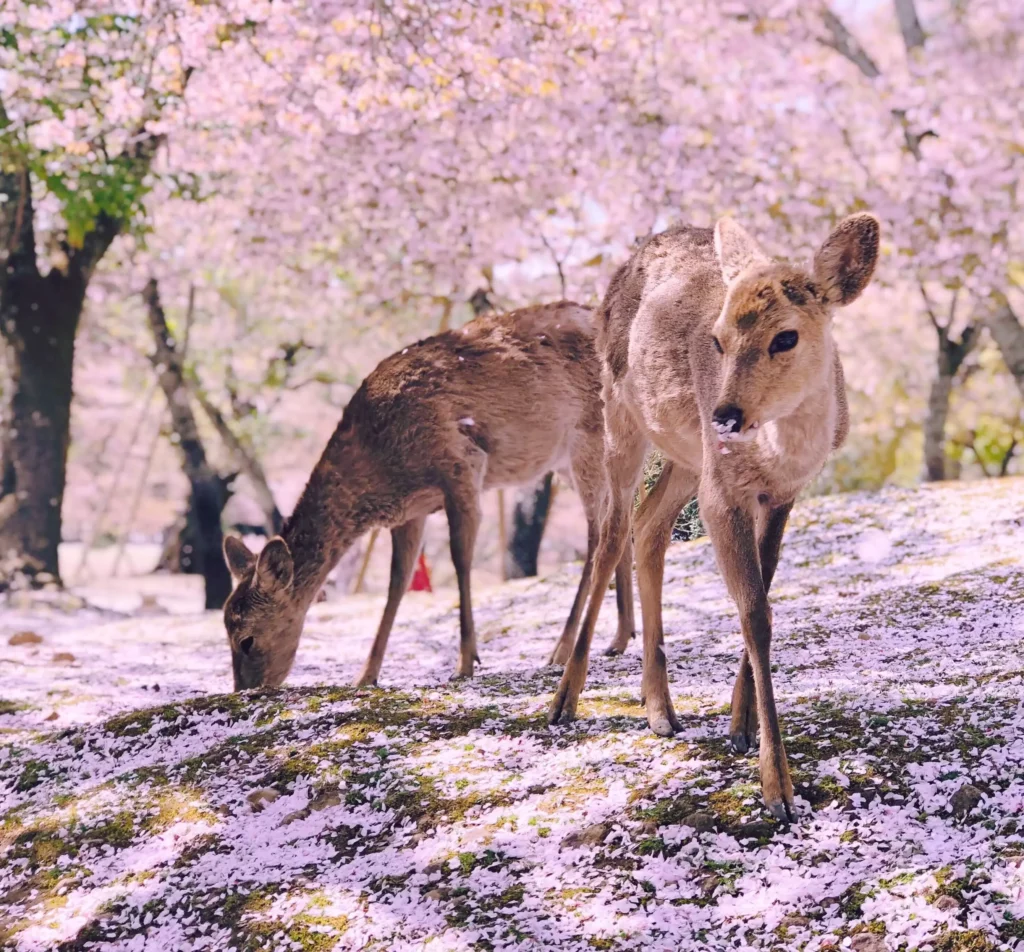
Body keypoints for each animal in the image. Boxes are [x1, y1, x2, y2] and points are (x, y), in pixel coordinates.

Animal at [222, 303, 638, 691]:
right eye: (225, 629)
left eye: (247, 639)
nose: (246, 690)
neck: (380, 465)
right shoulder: (411, 511)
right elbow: (398, 581)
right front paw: (365, 675)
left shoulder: (462, 463)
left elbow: (459, 559)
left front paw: (466, 662)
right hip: (572, 459)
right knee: (620, 519)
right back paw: (620, 637)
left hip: (588, 438)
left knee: (597, 533)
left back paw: (562, 648)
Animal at [544, 212, 880, 814]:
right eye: (718, 340)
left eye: (786, 336)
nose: (726, 414)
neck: (778, 456)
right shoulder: (723, 493)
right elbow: (754, 611)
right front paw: (778, 788)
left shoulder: (781, 495)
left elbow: (762, 597)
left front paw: (740, 725)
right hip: (621, 415)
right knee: (611, 533)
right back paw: (564, 700)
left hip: (685, 456)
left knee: (649, 526)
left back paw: (659, 709)